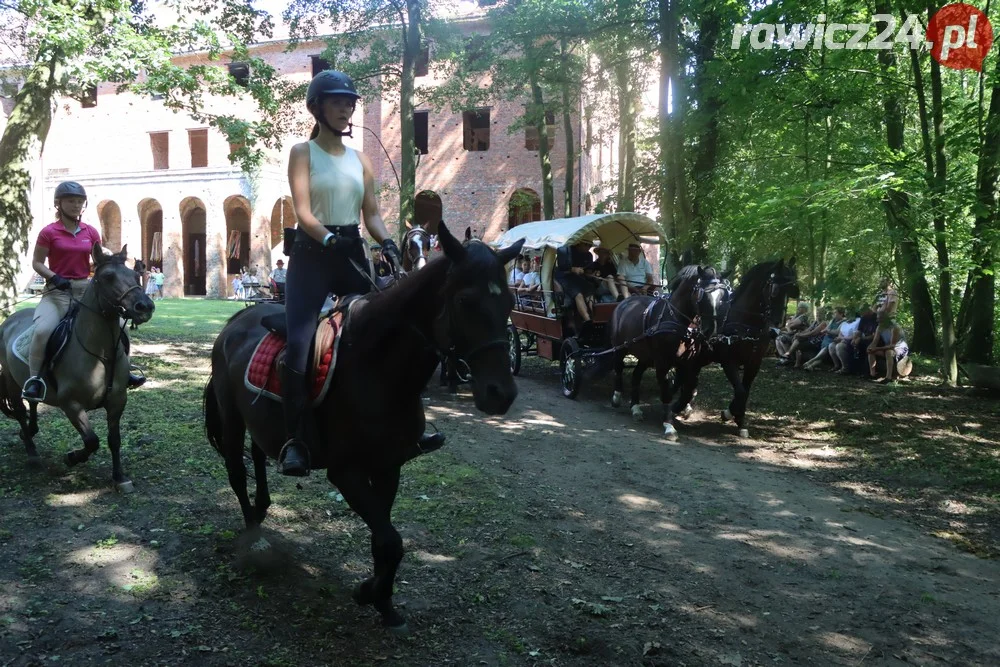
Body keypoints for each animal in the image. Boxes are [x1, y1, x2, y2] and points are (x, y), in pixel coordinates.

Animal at [0, 245, 153, 490]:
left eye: (135, 275)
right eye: (108, 277)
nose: (145, 306)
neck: (101, 355)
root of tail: (9, 320)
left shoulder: (117, 400)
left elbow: (114, 440)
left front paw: (119, 476)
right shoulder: (71, 404)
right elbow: (92, 441)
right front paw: (71, 458)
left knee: (32, 402)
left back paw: (29, 433)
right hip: (12, 382)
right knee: (21, 411)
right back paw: (32, 453)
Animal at [203, 222, 524, 636]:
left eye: (510, 303)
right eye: (466, 301)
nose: (502, 394)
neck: (379, 367)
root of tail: (234, 323)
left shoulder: (388, 467)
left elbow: (383, 539)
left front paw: (382, 600)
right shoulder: (347, 473)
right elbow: (390, 539)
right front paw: (370, 593)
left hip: (259, 419)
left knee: (259, 455)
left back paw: (261, 510)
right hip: (231, 417)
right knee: (236, 471)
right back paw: (253, 536)